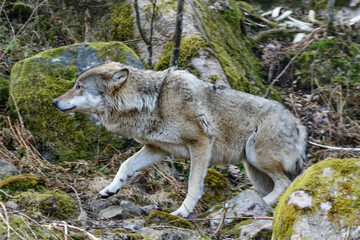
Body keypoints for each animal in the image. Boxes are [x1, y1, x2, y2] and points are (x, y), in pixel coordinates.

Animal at [52, 61, 306, 218]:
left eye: (78, 87)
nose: (54, 101)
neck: (153, 102)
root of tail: (299, 126)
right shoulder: (157, 149)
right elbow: (125, 165)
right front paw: (110, 189)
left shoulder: (201, 143)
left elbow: (193, 184)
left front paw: (182, 212)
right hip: (254, 170)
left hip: (256, 157)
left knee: (285, 184)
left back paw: (263, 204)